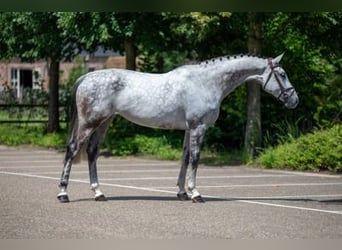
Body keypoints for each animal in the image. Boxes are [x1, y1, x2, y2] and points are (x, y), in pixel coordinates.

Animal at [57, 53, 298, 203]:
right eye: (282, 74)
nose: (294, 100)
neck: (206, 82)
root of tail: (86, 76)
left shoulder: (189, 129)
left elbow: (185, 157)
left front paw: (182, 192)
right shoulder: (198, 127)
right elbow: (195, 159)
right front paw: (196, 194)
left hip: (104, 122)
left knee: (92, 152)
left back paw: (99, 192)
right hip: (89, 123)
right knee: (72, 150)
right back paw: (63, 193)